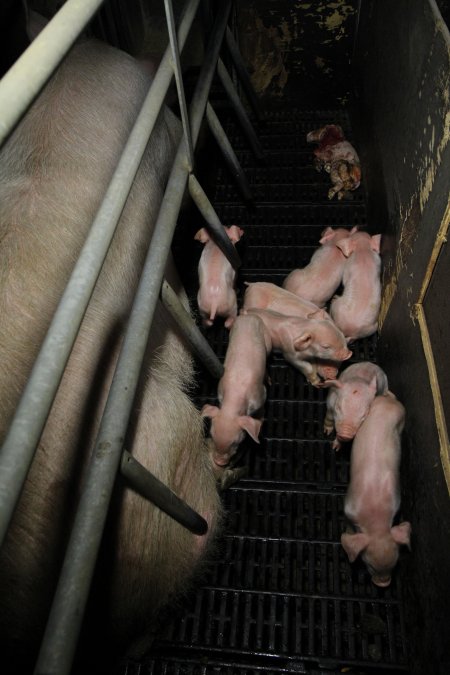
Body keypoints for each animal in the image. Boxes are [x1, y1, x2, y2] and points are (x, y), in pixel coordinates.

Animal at [201, 314, 270, 468]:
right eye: (212, 435)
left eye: (236, 443)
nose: (219, 462)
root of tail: (248, 316)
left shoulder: (261, 395)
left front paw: (261, 420)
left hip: (267, 341)